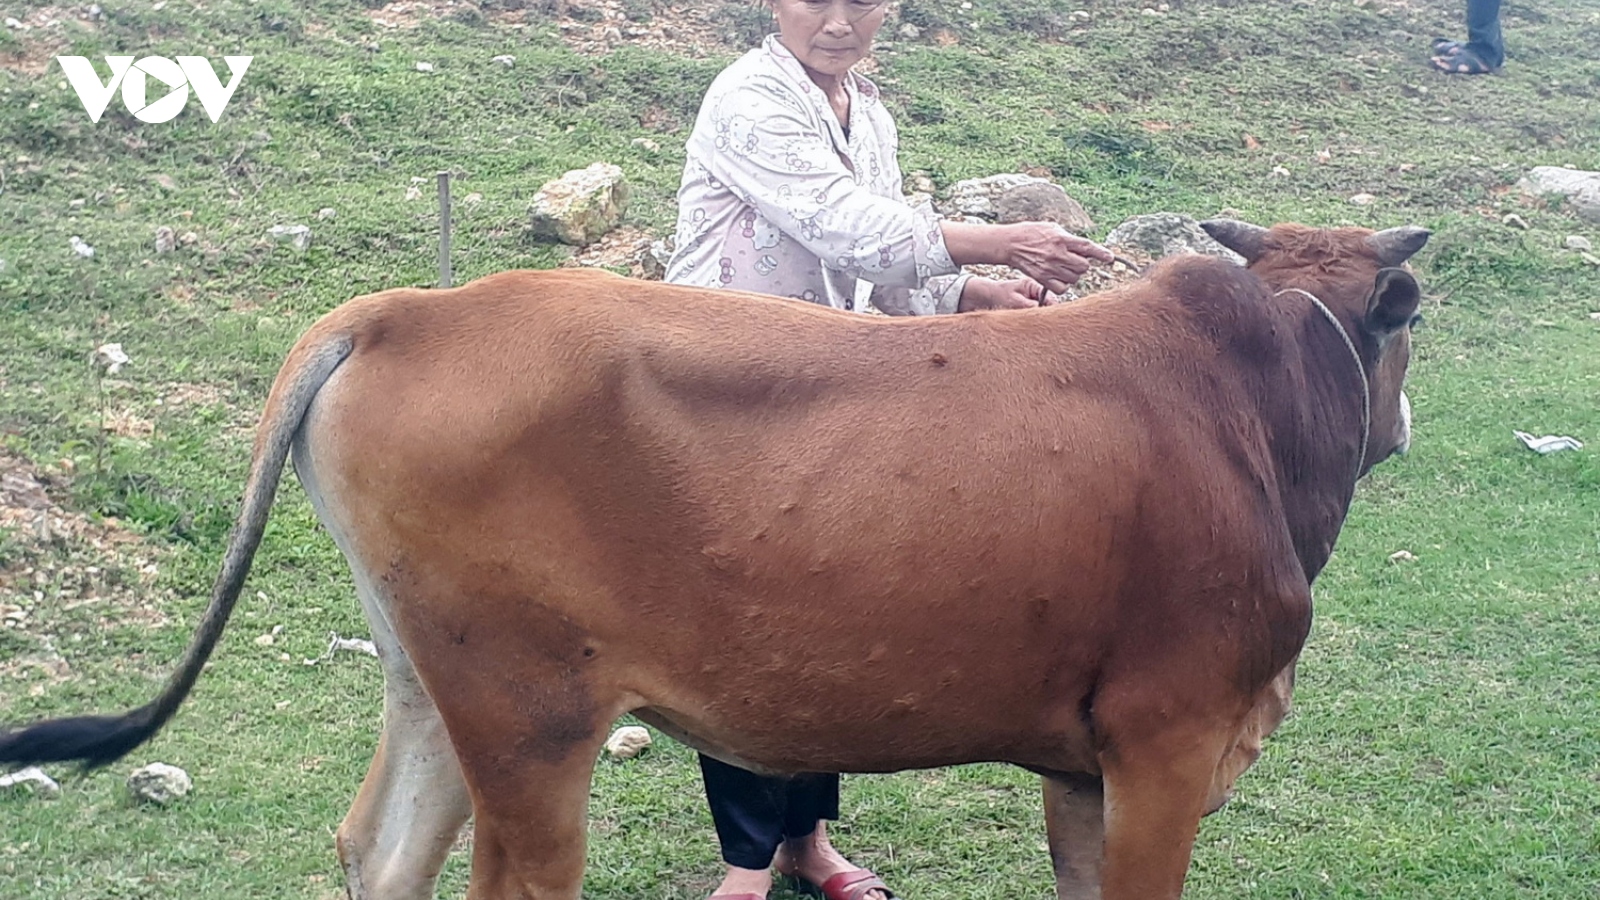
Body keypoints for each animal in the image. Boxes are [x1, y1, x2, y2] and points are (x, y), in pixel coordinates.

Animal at [0, 219, 1427, 900]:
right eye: (1405, 330)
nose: (1403, 423)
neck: (1255, 414)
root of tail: (412, 308)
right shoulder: (1166, 742)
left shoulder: (1082, 766)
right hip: (530, 714)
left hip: (428, 679)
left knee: (380, 852)